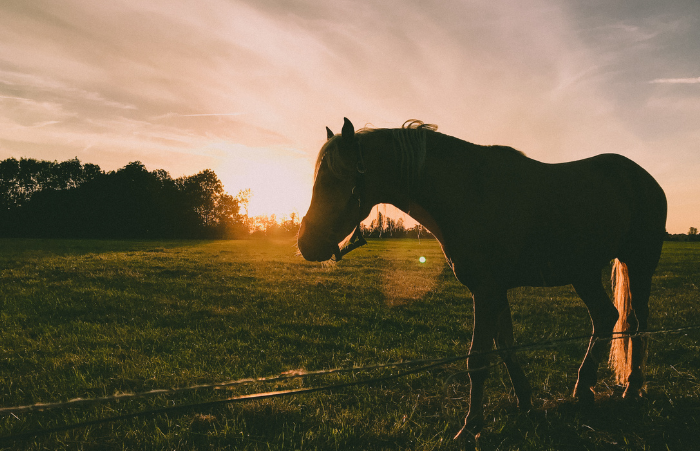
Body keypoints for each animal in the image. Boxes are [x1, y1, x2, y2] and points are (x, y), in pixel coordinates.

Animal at [297, 118, 667, 436]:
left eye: (334, 179)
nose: (305, 243)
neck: (469, 192)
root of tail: (644, 178)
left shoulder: (486, 291)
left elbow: (477, 359)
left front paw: (472, 425)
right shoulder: (494, 291)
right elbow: (505, 347)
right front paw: (525, 401)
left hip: (638, 264)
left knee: (636, 323)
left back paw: (632, 388)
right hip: (584, 273)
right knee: (606, 317)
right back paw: (584, 388)